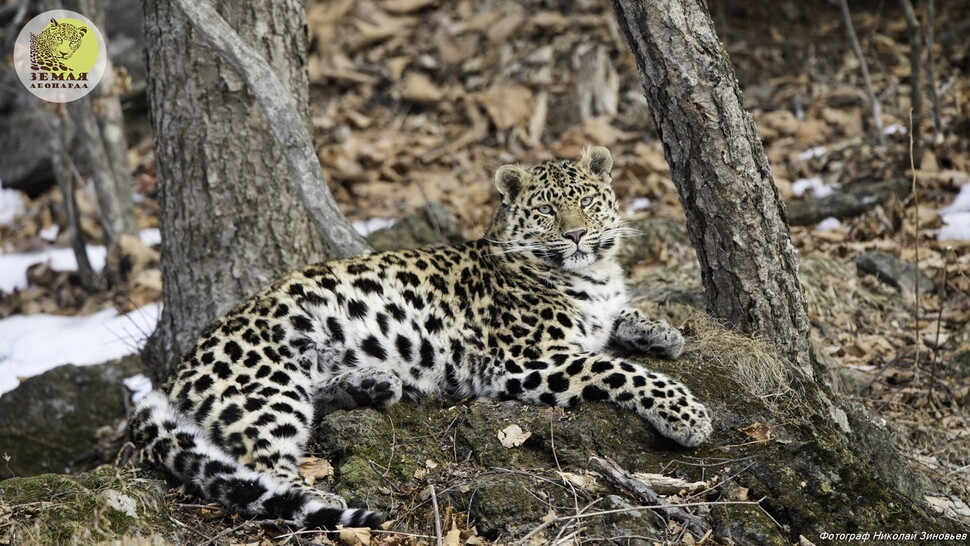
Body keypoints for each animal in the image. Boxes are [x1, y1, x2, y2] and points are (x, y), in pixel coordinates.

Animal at [129, 146, 712, 528]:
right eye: (547, 211)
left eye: (588, 203)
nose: (575, 234)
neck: (591, 275)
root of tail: (179, 367)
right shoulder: (529, 360)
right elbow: (616, 368)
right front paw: (687, 415)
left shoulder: (596, 312)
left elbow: (619, 318)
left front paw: (662, 332)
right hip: (268, 394)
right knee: (263, 475)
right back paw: (323, 506)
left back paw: (372, 385)